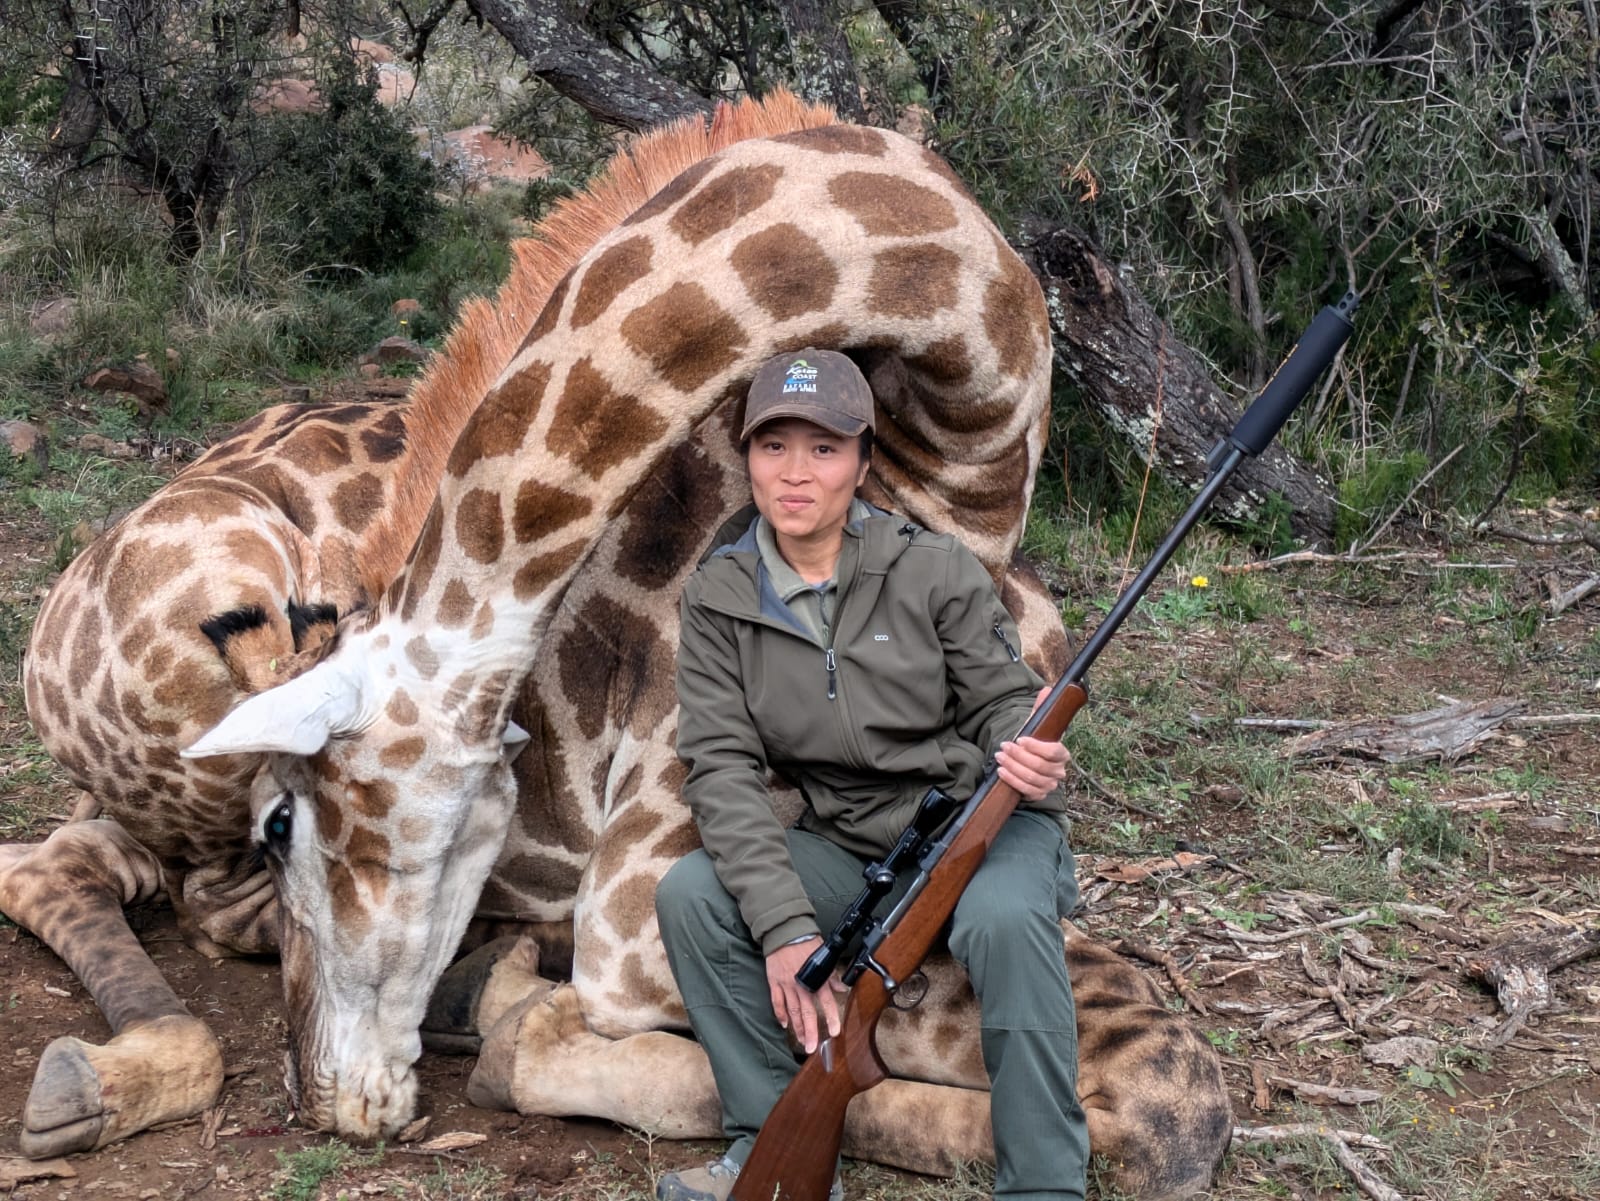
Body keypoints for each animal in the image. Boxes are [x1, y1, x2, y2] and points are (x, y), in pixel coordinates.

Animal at [8, 94, 1231, 1196]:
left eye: (287, 823)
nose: (331, 1101)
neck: (954, 470)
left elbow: (1162, 1096)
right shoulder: (641, 905)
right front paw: (508, 1011)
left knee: (80, 854)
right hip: (219, 612)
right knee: (101, 867)